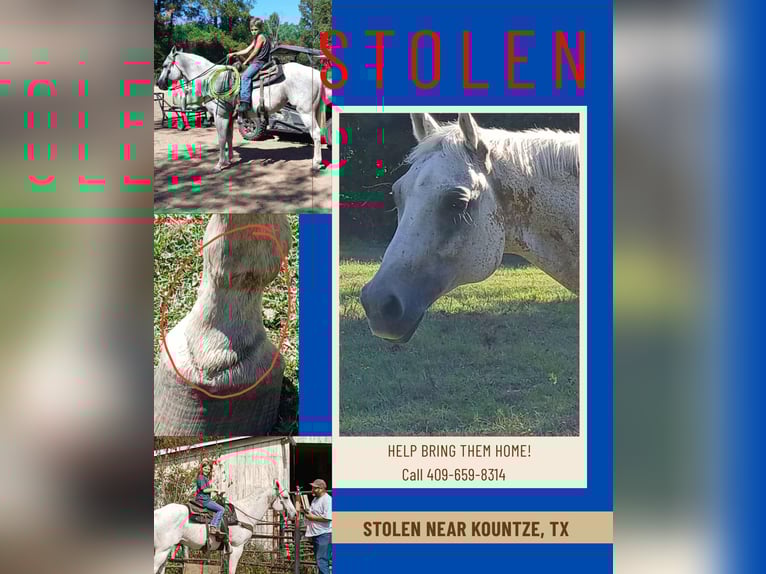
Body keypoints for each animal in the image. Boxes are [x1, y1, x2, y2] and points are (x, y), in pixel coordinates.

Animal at [153, 481, 297, 574]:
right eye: (285, 497)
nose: (295, 514)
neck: (243, 515)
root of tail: (157, 513)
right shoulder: (237, 547)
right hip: (162, 550)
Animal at [156, 46, 328, 172]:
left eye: (165, 65)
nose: (159, 83)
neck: (213, 80)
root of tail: (315, 73)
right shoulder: (229, 116)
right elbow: (229, 138)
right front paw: (229, 160)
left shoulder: (220, 115)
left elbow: (221, 139)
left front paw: (219, 164)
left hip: (306, 112)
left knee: (316, 134)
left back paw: (316, 163)